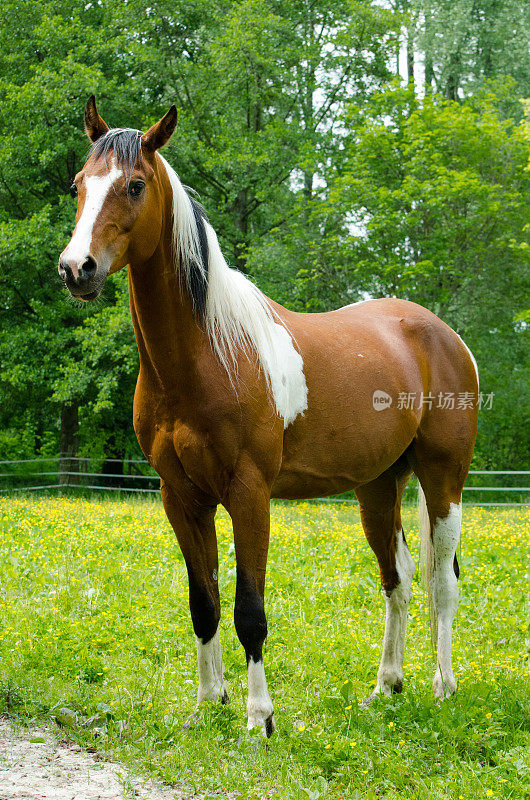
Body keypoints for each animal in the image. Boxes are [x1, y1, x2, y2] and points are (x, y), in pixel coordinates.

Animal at [58, 98, 478, 736]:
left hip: (442, 480)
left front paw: (260, 717)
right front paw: (208, 705)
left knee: (442, 583)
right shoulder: (181, 496)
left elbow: (249, 609)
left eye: (134, 185)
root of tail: (445, 336)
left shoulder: (249, 494)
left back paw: (442, 687)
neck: (209, 352)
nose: (76, 268)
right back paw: (386, 687)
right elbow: (203, 603)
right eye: (80, 184)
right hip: (378, 486)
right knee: (399, 578)